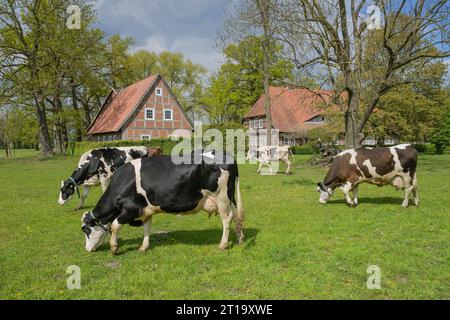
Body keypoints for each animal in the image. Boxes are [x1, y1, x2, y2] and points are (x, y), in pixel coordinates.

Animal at [79, 151, 244, 254]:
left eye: (86, 230)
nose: (87, 249)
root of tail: (227, 154)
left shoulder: (131, 209)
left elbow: (114, 226)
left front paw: (114, 248)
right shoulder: (145, 210)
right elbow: (146, 227)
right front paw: (143, 247)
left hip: (221, 199)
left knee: (227, 219)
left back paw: (223, 244)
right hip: (231, 199)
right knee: (237, 217)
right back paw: (240, 239)